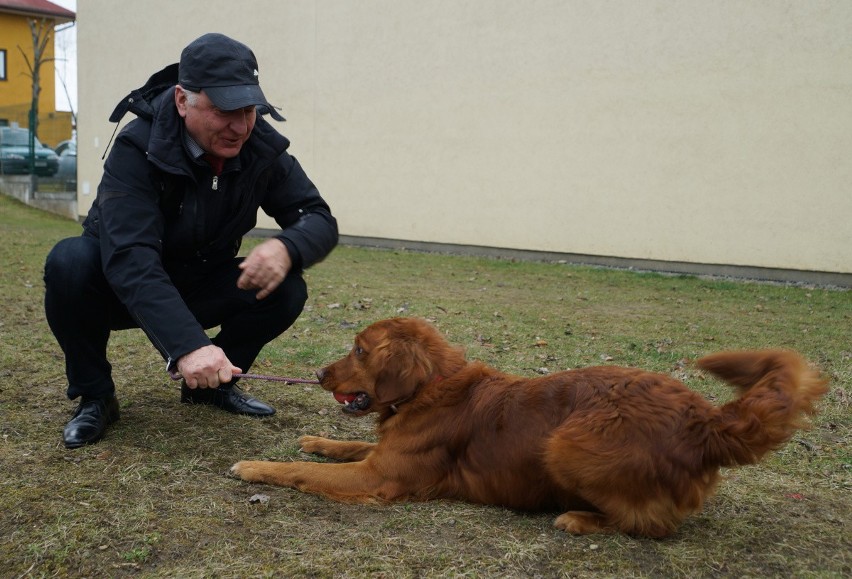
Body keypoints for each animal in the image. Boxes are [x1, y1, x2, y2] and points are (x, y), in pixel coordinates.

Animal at [231, 318, 824, 540]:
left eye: (358, 350)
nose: (317, 375)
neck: (431, 386)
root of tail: (706, 418)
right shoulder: (381, 456)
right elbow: (344, 445)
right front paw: (316, 439)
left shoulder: (378, 478)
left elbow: (299, 471)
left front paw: (255, 464)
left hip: (566, 443)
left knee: (651, 523)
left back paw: (580, 519)